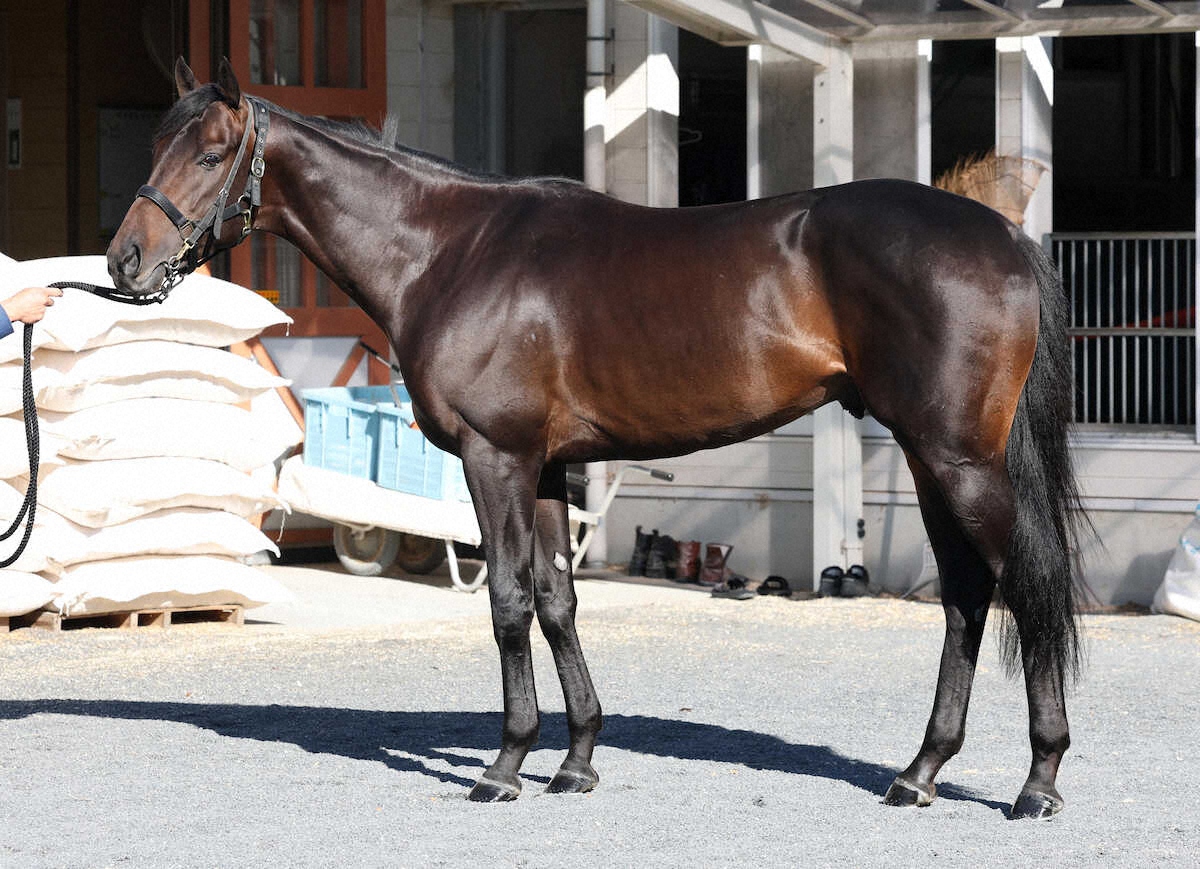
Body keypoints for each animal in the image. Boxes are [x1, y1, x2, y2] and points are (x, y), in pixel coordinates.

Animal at [108, 58, 1087, 819]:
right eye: (154, 147)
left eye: (209, 152)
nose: (124, 260)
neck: (450, 250)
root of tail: (1003, 235)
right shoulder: (546, 468)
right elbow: (557, 601)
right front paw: (576, 759)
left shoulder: (495, 457)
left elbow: (508, 602)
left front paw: (506, 764)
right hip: (931, 460)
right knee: (965, 596)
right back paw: (920, 772)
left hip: (959, 460)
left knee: (1023, 583)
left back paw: (1037, 781)